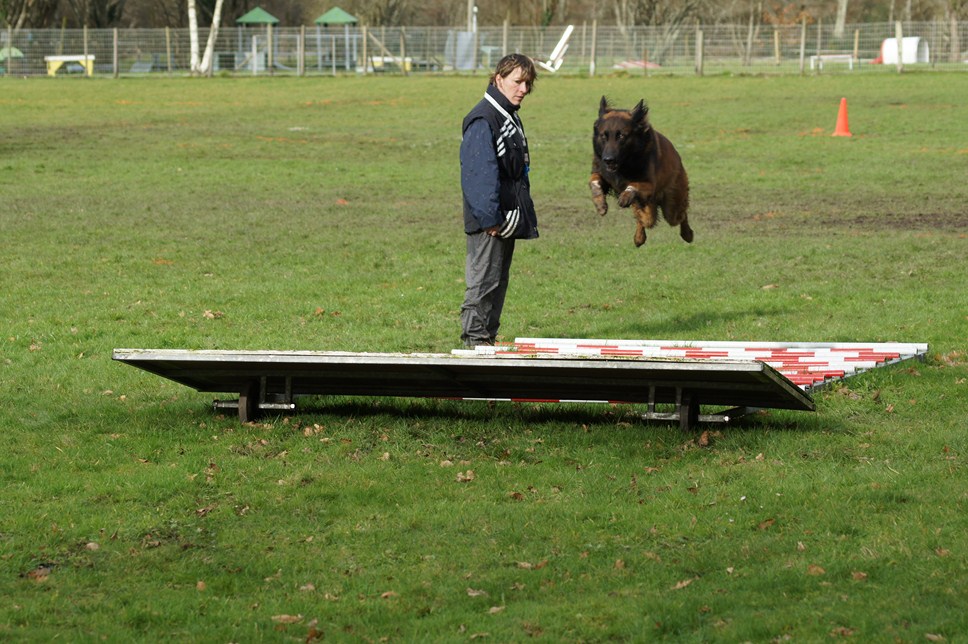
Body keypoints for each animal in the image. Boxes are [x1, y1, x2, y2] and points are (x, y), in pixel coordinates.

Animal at [588, 95, 692, 247]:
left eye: (621, 136)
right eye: (603, 136)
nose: (608, 160)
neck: (625, 164)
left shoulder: (649, 185)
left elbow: (634, 185)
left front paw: (625, 195)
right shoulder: (601, 172)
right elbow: (593, 180)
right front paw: (600, 203)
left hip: (672, 206)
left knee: (681, 214)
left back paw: (688, 234)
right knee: (643, 219)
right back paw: (639, 237)